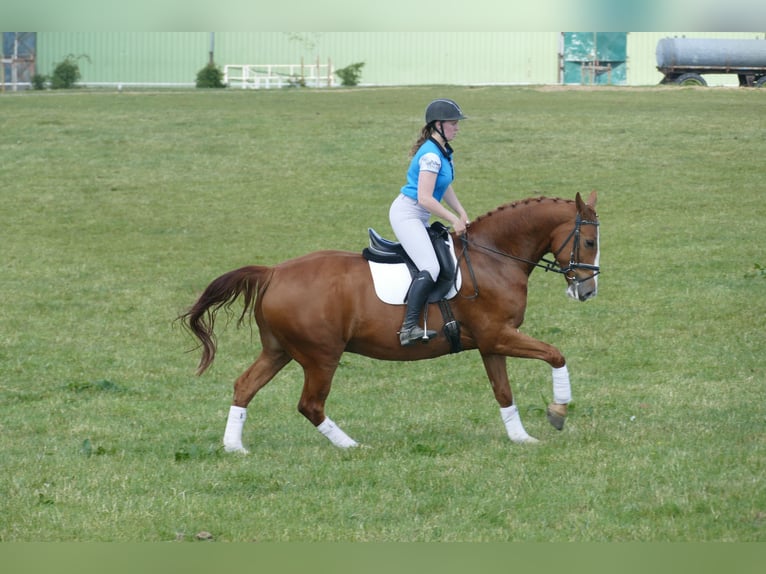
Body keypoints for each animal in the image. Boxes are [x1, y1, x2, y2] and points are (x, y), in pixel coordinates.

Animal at [180, 191, 600, 451]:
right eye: (590, 242)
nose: (588, 290)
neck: (494, 256)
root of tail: (274, 273)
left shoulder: (491, 342)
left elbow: (503, 392)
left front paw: (521, 438)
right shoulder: (499, 335)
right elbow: (556, 354)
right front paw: (558, 412)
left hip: (279, 350)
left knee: (245, 386)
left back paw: (234, 447)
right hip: (321, 356)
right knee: (310, 404)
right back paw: (352, 446)